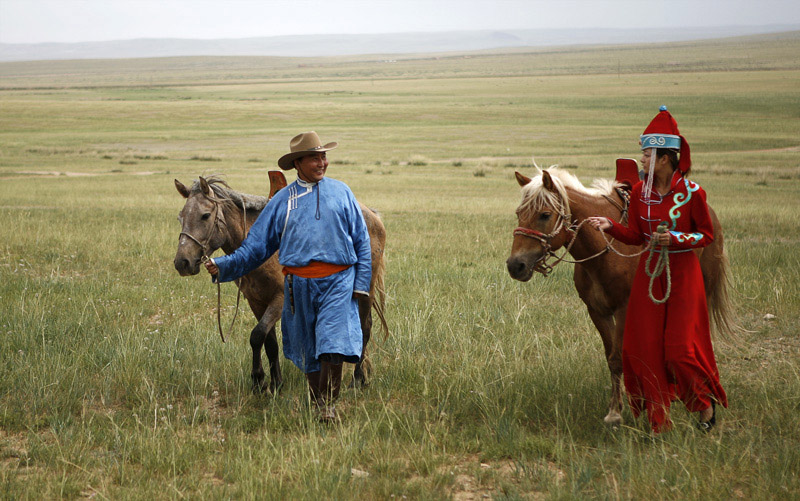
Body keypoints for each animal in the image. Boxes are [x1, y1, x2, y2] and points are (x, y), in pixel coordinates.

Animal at [174, 174, 388, 392]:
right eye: (181, 217)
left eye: (205, 215)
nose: (182, 263)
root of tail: (372, 215)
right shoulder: (257, 302)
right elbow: (269, 342)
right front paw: (276, 382)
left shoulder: (280, 299)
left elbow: (257, 335)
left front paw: (258, 380)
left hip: (365, 291)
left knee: (364, 328)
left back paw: (356, 380)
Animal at [506, 169, 732, 426]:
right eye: (519, 214)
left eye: (544, 215)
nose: (515, 265)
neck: (604, 252)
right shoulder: (597, 311)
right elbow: (611, 357)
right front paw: (622, 406)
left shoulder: (624, 308)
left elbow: (618, 357)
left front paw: (620, 410)